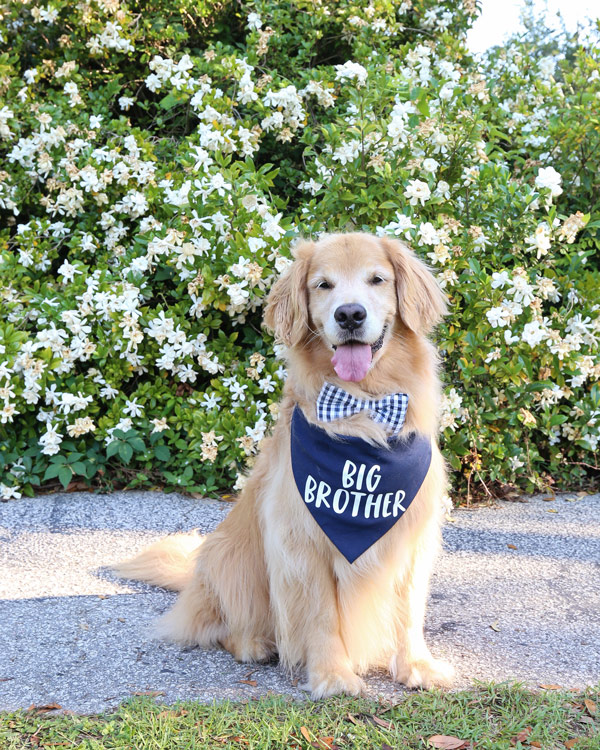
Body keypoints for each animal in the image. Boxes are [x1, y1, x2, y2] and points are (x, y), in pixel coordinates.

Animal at [113, 234, 454, 700]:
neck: (363, 407)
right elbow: (324, 616)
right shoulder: (301, 541)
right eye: (323, 285)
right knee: (220, 625)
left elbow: (407, 610)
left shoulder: (411, 535)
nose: (350, 314)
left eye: (377, 279)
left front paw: (417, 665)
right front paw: (332, 675)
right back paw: (253, 644)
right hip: (232, 559)